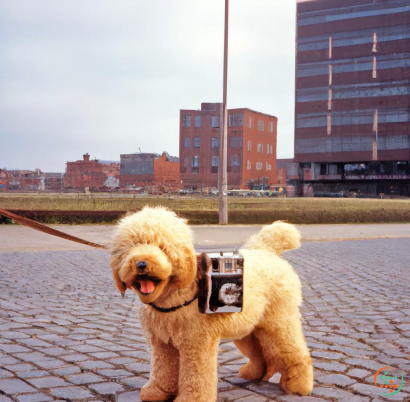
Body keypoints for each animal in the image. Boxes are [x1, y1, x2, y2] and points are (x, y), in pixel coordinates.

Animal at [110, 207, 312, 402]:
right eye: (130, 247)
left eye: (162, 247)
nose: (141, 264)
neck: (174, 296)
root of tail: (268, 251)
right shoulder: (162, 343)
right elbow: (163, 369)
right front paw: (158, 391)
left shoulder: (196, 343)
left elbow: (195, 376)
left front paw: (191, 398)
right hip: (247, 328)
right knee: (260, 353)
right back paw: (253, 374)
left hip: (280, 322)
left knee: (296, 351)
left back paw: (299, 385)